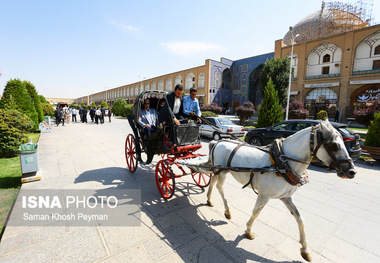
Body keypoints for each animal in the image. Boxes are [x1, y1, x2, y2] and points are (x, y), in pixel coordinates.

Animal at [205, 121, 356, 262]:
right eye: (333, 145)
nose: (351, 171)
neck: (282, 163)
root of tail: (217, 141)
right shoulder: (264, 195)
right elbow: (256, 212)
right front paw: (248, 231)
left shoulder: (286, 197)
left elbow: (300, 218)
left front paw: (305, 249)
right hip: (221, 170)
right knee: (219, 187)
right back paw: (227, 210)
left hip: (218, 170)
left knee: (212, 181)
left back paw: (209, 199)